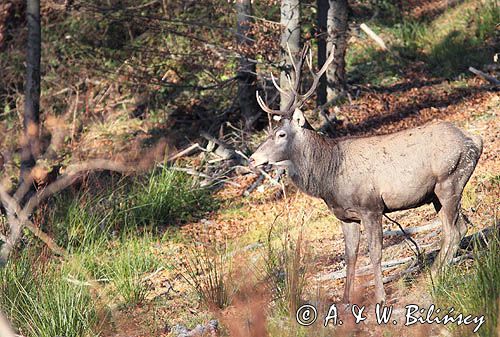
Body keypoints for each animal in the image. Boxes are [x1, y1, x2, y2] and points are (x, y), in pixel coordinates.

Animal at [252, 44, 482, 302]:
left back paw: (434, 275)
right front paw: (345, 300)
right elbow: (350, 257)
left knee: (454, 229)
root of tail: (475, 140)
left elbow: (375, 252)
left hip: (450, 179)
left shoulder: (371, 207)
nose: (253, 158)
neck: (329, 176)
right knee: (457, 227)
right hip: (435, 194)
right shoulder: (345, 216)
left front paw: (380, 297)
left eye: (281, 134)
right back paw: (437, 272)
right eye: (269, 132)